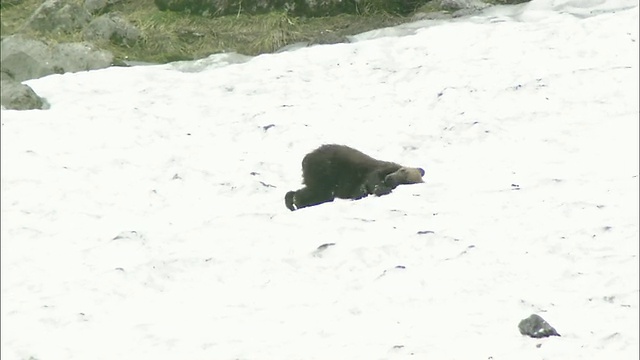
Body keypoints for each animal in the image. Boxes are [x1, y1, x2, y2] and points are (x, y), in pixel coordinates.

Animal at [284, 144, 424, 211]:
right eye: (403, 171)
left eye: (405, 182)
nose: (390, 179)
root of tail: (307, 157)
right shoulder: (379, 168)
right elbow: (373, 178)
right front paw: (380, 188)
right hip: (325, 168)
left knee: (318, 193)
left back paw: (294, 201)